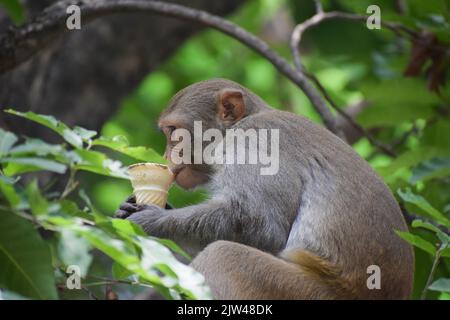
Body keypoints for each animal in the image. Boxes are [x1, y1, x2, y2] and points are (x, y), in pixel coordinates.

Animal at [116, 79, 414, 298]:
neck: (240, 124)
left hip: (303, 292)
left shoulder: (253, 142)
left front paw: (152, 220)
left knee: (223, 255)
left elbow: (262, 225)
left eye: (173, 132)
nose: (167, 155)